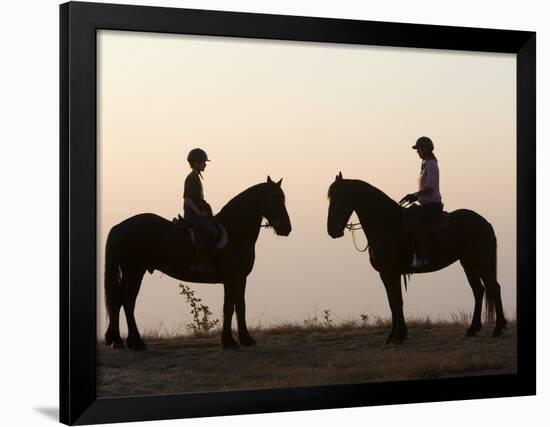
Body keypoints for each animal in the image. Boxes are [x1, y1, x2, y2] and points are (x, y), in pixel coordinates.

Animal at [104, 177, 294, 352]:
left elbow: (239, 306)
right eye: (274, 199)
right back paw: (136, 343)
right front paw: (230, 342)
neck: (236, 230)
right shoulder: (232, 278)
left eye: (282, 199)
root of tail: (119, 227)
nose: (286, 228)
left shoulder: (239, 279)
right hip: (134, 271)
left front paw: (245, 340)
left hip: (131, 272)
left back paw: (118, 341)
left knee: (118, 300)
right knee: (128, 301)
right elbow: (230, 308)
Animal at [328, 173, 508, 344]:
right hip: (468, 263)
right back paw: (472, 329)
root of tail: (485, 223)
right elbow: (392, 302)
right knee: (478, 290)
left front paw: (398, 336)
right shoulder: (385, 274)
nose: (332, 231)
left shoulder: (391, 272)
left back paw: (498, 328)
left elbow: (396, 302)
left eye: (339, 197)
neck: (386, 224)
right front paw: (394, 336)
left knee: (493, 288)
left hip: (481, 261)